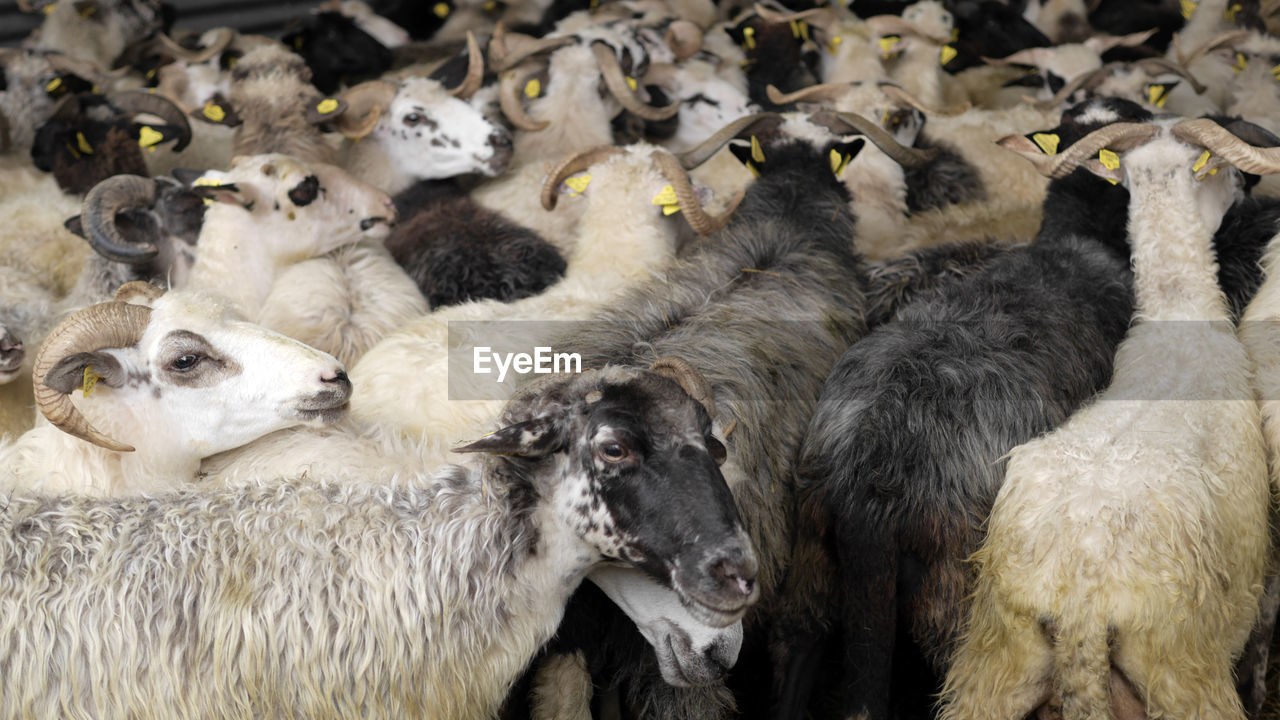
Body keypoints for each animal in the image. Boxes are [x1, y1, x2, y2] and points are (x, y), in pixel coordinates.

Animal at [936, 116, 1274, 717]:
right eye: (1223, 175)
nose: (1241, 191)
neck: (1178, 316)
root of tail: (1080, 603)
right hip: (1182, 672)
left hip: (994, 659)